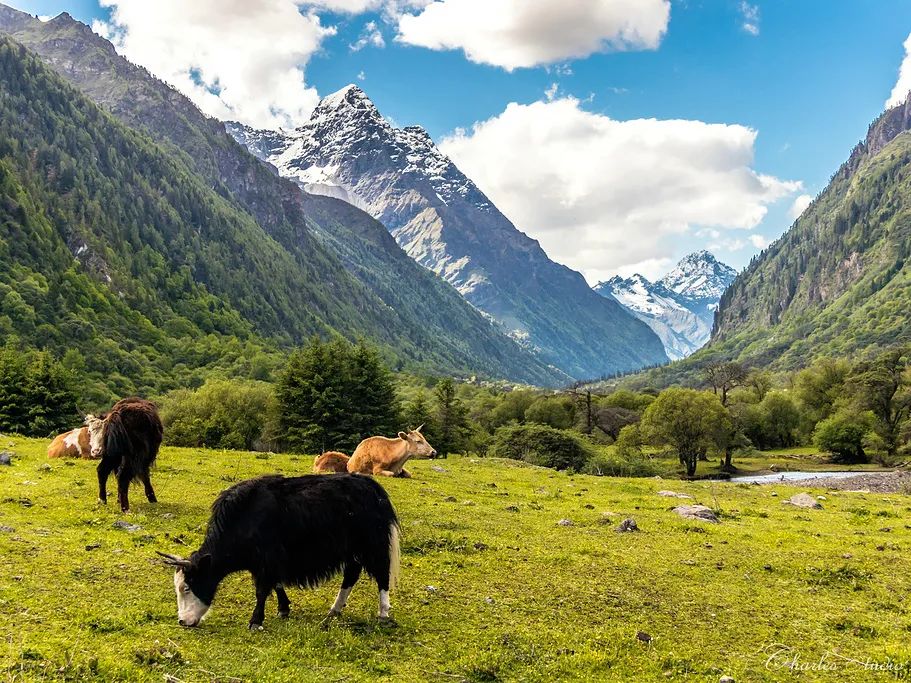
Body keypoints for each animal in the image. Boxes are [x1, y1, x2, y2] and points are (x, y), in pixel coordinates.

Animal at [159, 476, 400, 632]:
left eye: (187, 587)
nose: (183, 622)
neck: (243, 520)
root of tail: (376, 489)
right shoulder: (269, 562)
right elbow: (276, 584)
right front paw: (283, 609)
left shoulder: (267, 560)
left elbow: (262, 590)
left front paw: (255, 622)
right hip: (353, 551)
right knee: (351, 574)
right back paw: (334, 611)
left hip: (372, 545)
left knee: (382, 574)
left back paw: (383, 614)